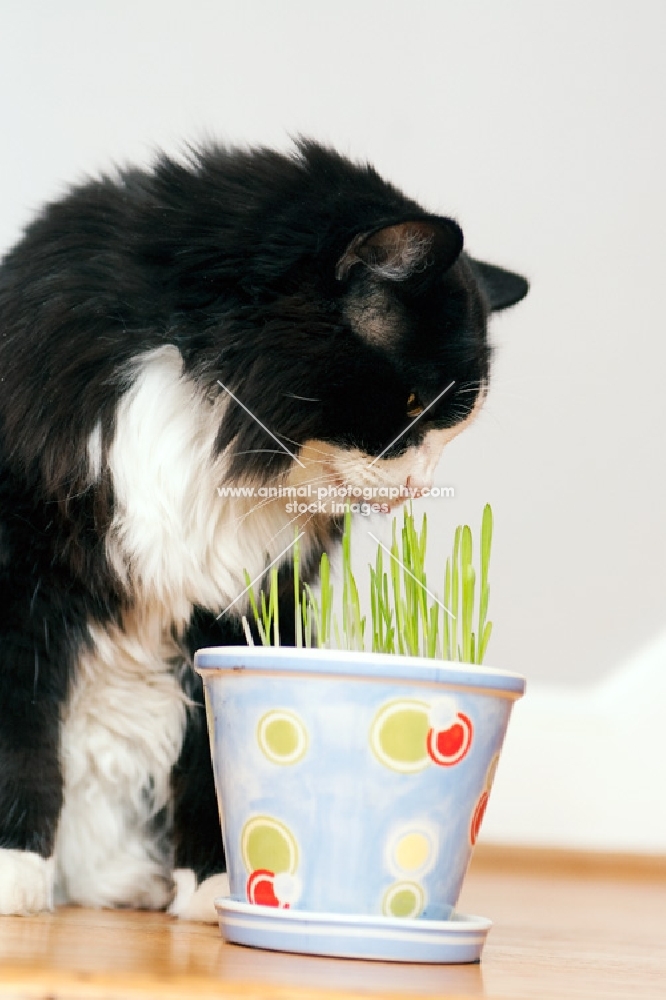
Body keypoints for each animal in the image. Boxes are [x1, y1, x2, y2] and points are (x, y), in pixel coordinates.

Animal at [0, 137, 528, 916]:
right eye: (412, 407)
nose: (417, 489)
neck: (209, 419)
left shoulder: (240, 606)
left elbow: (208, 763)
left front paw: (222, 880)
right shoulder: (24, 580)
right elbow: (23, 738)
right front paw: (13, 868)